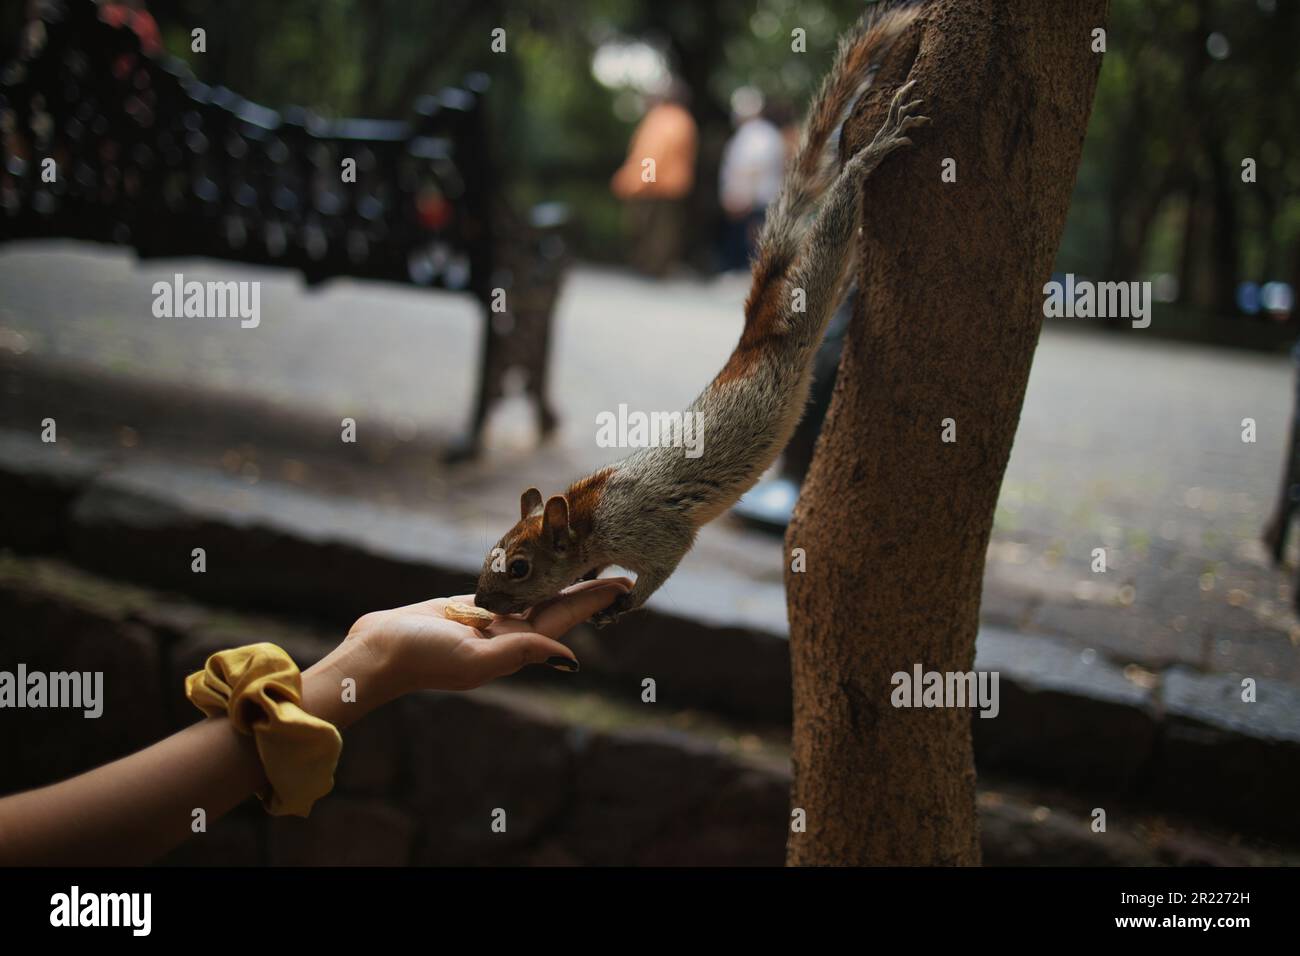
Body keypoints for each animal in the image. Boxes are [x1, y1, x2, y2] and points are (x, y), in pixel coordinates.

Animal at [474, 4, 927, 626]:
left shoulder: (653, 532)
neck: (591, 518)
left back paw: (869, 154)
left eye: (519, 567)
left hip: (809, 295)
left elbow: (662, 567)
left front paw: (620, 606)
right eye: (492, 550)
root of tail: (756, 330)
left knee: (837, 221)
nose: (478, 601)